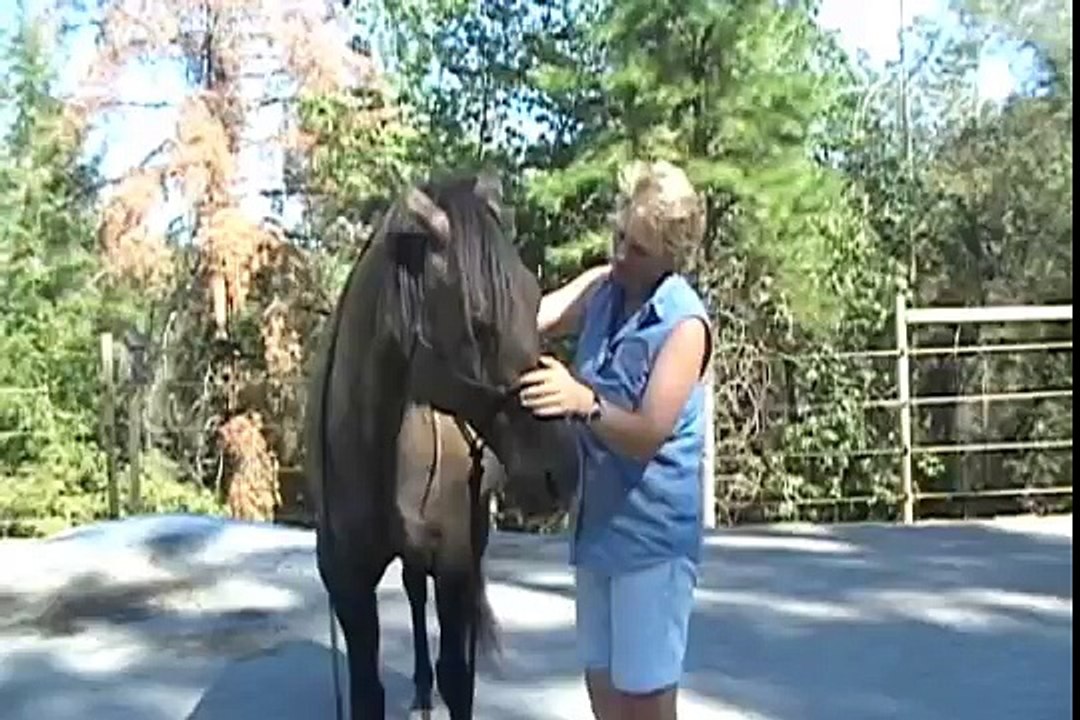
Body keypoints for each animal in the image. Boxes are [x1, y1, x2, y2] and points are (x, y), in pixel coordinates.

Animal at [304, 171, 580, 720]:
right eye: (477, 321)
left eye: (536, 299)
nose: (562, 470)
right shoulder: (346, 582)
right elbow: (367, 693)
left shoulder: (455, 565)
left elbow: (459, 677)